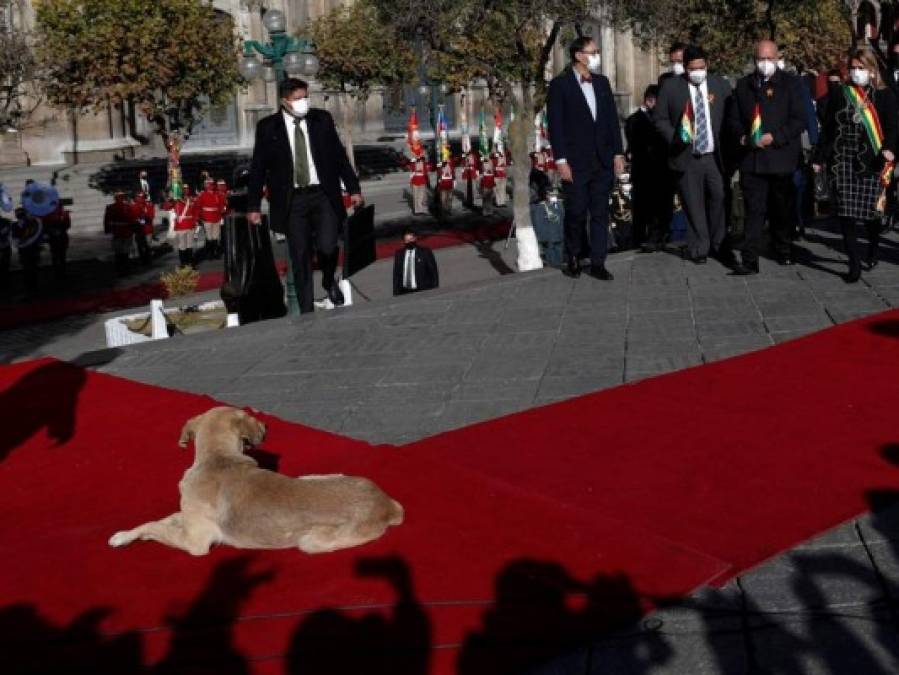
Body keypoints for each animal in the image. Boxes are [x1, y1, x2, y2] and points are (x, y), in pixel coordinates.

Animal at [109, 406, 404, 556]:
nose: (268, 426)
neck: (218, 458)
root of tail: (386, 504)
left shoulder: (195, 542)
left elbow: (157, 528)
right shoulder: (187, 519)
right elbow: (160, 521)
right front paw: (125, 535)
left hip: (310, 542)